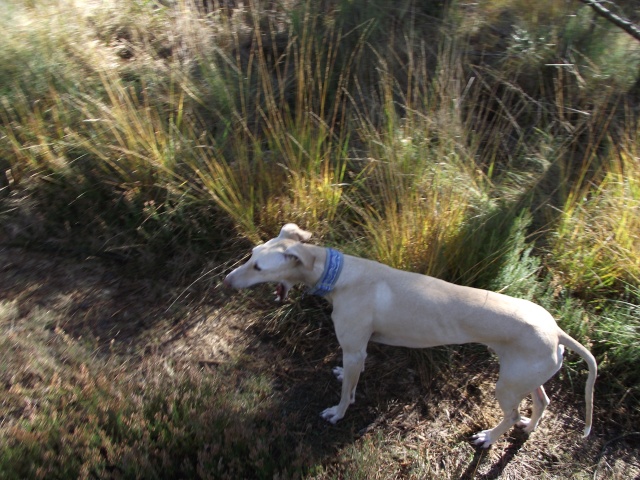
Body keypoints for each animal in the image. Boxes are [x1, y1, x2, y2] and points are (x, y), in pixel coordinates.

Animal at [222, 223, 596, 448]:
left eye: (258, 267)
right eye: (251, 255)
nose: (226, 281)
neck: (339, 273)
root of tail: (557, 330)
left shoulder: (354, 348)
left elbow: (345, 395)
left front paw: (338, 413)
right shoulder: (358, 351)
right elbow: (352, 377)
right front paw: (344, 380)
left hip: (507, 386)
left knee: (512, 414)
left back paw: (489, 437)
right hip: (527, 376)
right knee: (542, 402)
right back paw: (529, 428)